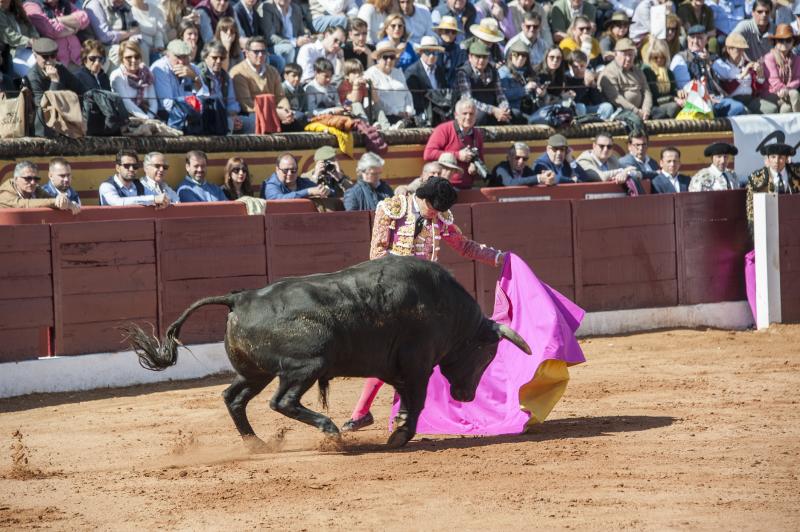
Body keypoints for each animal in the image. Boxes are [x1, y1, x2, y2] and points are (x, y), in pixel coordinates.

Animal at [125, 256, 532, 446]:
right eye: (487, 355)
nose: (465, 396)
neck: (445, 306)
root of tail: (240, 297)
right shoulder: (417, 367)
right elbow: (414, 404)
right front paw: (400, 436)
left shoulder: (399, 370)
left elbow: (405, 400)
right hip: (305, 365)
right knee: (281, 402)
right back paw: (330, 429)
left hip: (256, 372)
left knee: (233, 397)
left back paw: (257, 444)